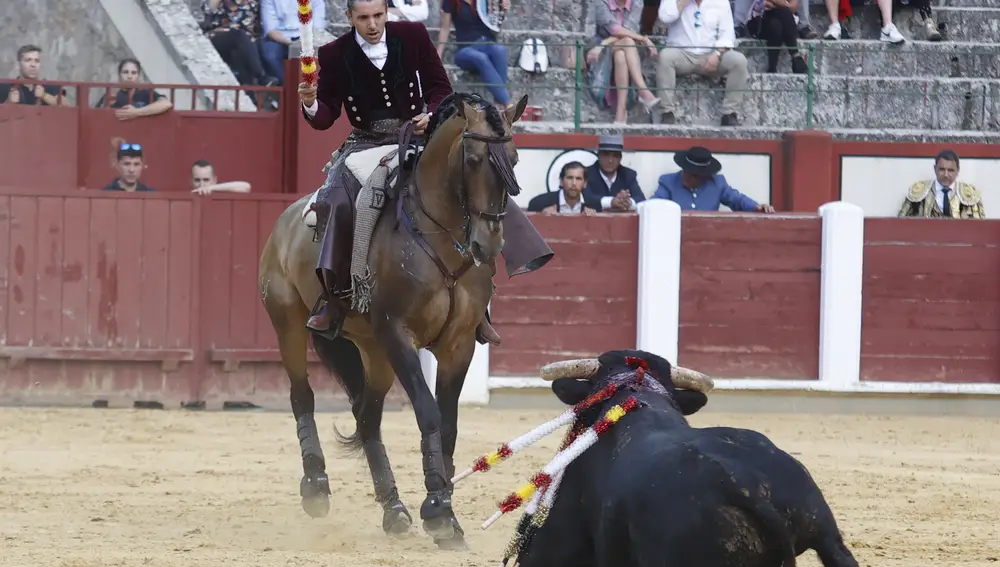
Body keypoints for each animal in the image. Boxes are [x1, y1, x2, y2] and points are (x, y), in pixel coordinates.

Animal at [258, 92, 552, 552]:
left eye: (516, 158)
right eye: (472, 159)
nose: (488, 245)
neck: (442, 236)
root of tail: (286, 219)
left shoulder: (457, 344)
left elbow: (448, 424)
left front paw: (447, 513)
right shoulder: (399, 334)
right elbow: (428, 412)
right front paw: (438, 511)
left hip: (373, 350)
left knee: (367, 417)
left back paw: (393, 509)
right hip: (288, 320)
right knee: (301, 396)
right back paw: (316, 486)